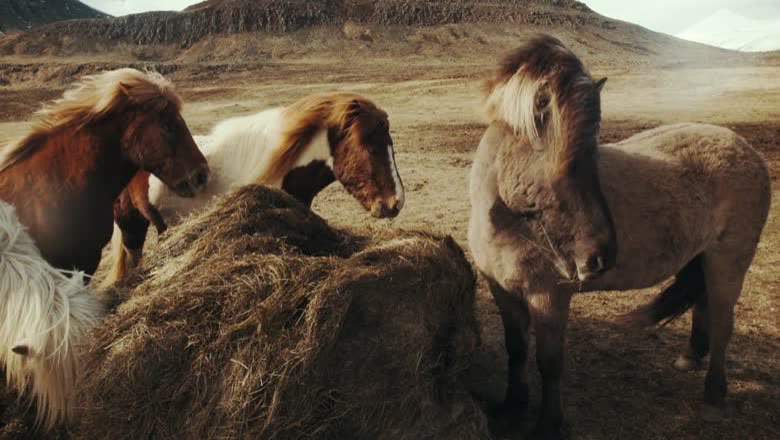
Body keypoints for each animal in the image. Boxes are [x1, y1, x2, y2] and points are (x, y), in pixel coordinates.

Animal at [468, 35, 770, 438]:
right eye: (564, 163)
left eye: (592, 158)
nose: (600, 256)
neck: (507, 224)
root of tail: (747, 149)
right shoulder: (503, 292)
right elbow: (515, 351)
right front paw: (511, 406)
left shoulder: (548, 297)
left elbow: (549, 363)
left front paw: (548, 423)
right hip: (701, 257)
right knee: (704, 304)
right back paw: (691, 357)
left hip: (729, 261)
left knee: (723, 319)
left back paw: (714, 393)